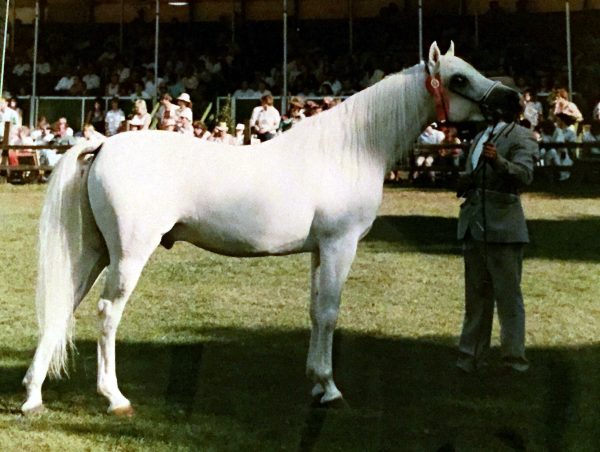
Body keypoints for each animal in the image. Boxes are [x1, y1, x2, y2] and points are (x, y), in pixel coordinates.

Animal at [21, 44, 520, 414]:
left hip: (94, 252)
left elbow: (316, 311)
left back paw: (32, 395)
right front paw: (330, 389)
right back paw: (115, 398)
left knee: (64, 304)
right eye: (458, 79)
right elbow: (329, 312)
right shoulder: (339, 246)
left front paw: (317, 382)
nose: (514, 102)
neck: (349, 150)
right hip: (127, 255)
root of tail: (104, 144)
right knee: (107, 313)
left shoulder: (320, 250)